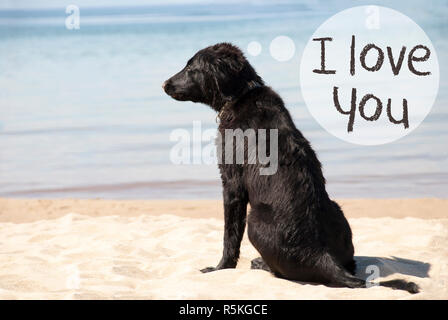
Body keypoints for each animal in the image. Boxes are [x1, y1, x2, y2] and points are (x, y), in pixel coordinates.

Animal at [164, 43, 420, 296]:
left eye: (191, 68)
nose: (164, 84)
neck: (241, 94)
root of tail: (321, 256)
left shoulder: (232, 184)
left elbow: (230, 235)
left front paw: (219, 268)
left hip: (255, 219)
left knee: (280, 272)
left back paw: (260, 263)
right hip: (338, 212)